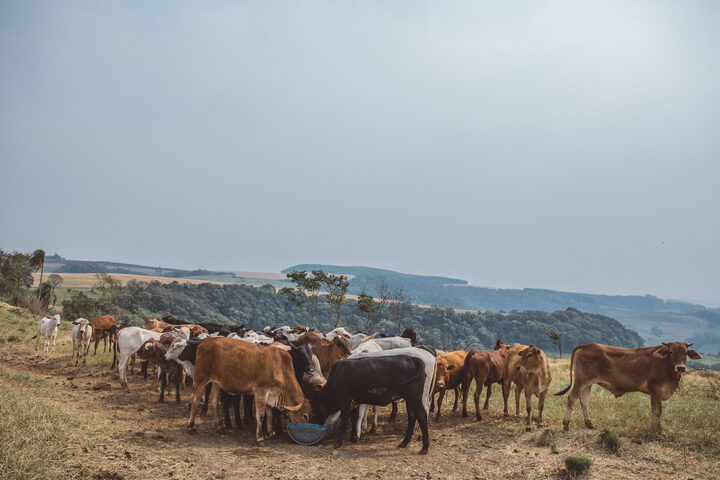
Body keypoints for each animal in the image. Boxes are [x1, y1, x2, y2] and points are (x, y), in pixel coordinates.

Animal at [556, 342, 700, 432]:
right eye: (670, 351)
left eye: (686, 352)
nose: (681, 367)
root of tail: (587, 345)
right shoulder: (655, 392)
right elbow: (656, 411)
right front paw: (655, 430)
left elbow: (659, 412)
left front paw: (658, 429)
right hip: (580, 381)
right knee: (572, 398)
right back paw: (566, 424)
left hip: (587, 383)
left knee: (584, 400)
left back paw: (589, 424)